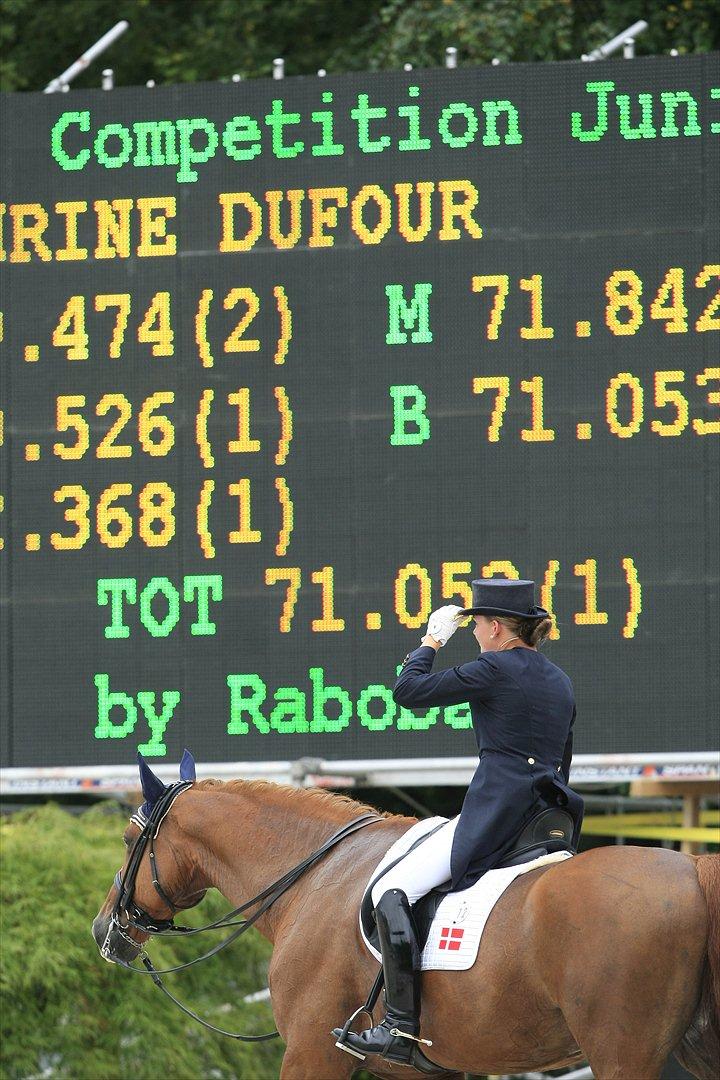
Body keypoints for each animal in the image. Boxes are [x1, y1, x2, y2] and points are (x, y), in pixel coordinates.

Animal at [92, 777, 716, 1080]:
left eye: (128, 839)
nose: (104, 930)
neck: (317, 873)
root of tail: (690, 867)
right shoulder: (416, 1073)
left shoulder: (311, 1054)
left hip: (623, 1056)